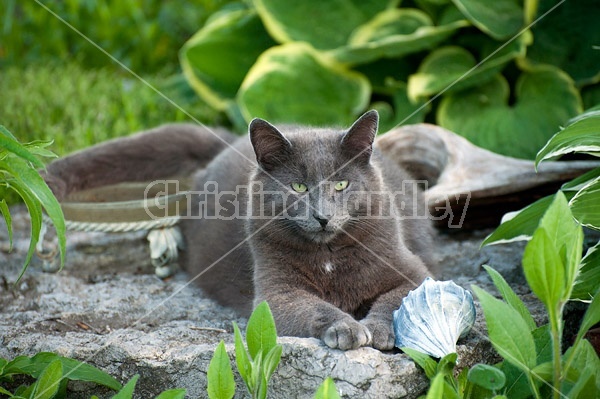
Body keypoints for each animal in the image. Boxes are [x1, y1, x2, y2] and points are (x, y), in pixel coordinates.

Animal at [43, 110, 436, 350]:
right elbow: (313, 307)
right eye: (297, 187)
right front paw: (347, 328)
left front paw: (379, 329)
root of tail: (228, 142)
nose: (322, 216)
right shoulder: (275, 295)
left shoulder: (414, 270)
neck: (329, 257)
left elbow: (397, 297)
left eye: (341, 184)